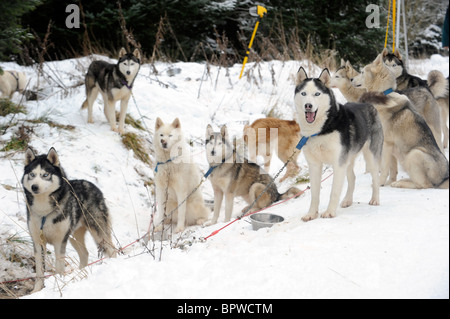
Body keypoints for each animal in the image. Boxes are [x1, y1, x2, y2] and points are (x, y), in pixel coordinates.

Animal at [22, 148, 117, 292]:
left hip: (98, 233)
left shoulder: (59, 242)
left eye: (45, 175)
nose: (34, 187)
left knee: (112, 250)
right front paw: (36, 290)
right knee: (85, 254)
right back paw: (81, 272)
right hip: (74, 237)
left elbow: (59, 267)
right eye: (32, 174)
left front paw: (58, 284)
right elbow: (39, 271)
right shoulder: (38, 242)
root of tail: (92, 184)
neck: (44, 212)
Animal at [296, 67, 384, 222]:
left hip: (371, 157)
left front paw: (330, 212)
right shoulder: (314, 165)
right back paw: (348, 200)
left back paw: (375, 199)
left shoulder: (338, 163)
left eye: (317, 94)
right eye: (304, 93)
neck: (322, 129)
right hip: (348, 160)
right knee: (352, 178)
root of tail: (366, 104)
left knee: (375, 178)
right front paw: (311, 214)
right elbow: (314, 194)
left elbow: (334, 192)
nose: (308, 106)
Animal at [354, 52, 448, 190]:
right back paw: (399, 181)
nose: (351, 79)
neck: (382, 94)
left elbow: (384, 168)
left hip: (415, 153)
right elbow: (392, 170)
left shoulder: (386, 144)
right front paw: (388, 182)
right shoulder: (391, 148)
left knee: (425, 185)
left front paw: (380, 183)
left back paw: (401, 183)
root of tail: (444, 178)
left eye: (361, 72)